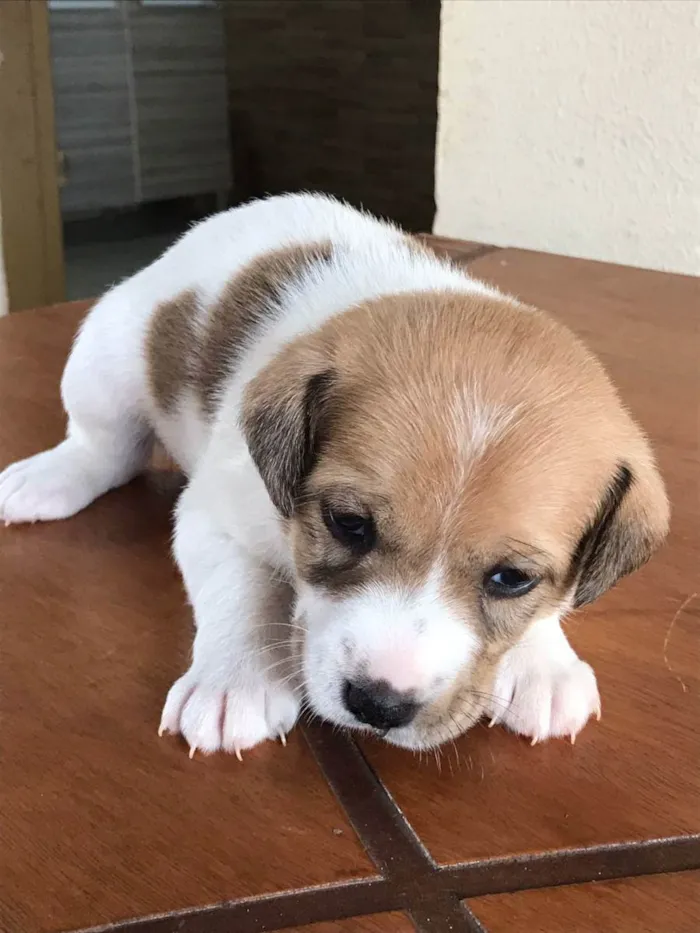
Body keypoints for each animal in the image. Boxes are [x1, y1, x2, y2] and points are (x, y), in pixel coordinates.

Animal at [0, 193, 668, 752]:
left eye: (511, 578)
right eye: (348, 524)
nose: (378, 705)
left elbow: (551, 606)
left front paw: (543, 662)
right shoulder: (217, 515)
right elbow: (240, 590)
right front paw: (234, 678)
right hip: (105, 361)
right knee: (105, 447)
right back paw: (48, 477)